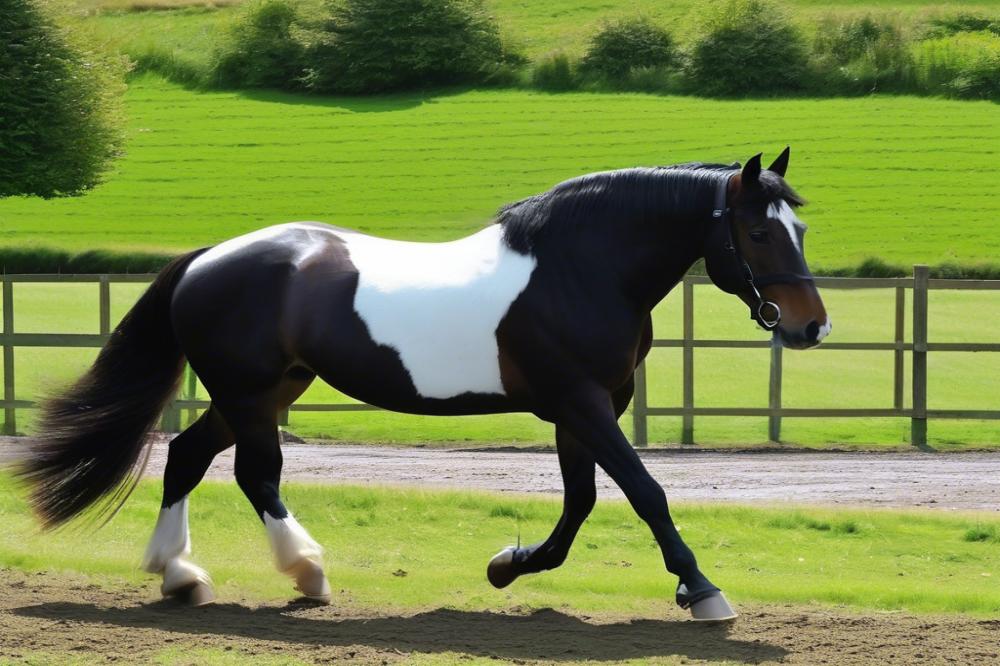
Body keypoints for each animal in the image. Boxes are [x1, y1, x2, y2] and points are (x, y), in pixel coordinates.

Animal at [17, 148, 828, 620]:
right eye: (759, 232)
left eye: (801, 229)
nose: (811, 327)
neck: (579, 269)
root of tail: (209, 258)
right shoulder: (583, 403)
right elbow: (643, 490)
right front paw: (703, 590)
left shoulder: (583, 411)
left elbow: (581, 503)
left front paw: (508, 566)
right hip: (250, 395)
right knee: (256, 473)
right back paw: (305, 570)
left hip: (265, 390)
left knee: (187, 457)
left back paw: (179, 574)